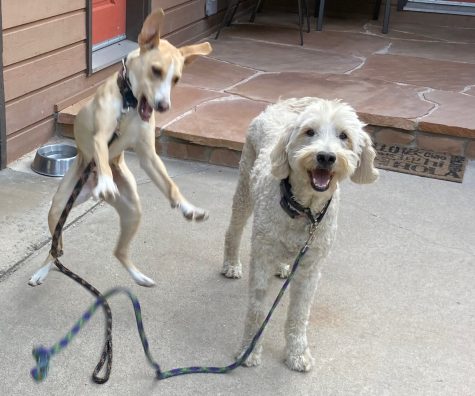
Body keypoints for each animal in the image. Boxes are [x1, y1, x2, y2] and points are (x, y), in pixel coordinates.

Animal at [29, 8, 212, 288]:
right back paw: (42, 271)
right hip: (58, 208)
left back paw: (139, 277)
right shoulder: (100, 137)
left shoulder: (149, 155)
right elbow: (103, 158)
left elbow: (170, 185)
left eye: (176, 79)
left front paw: (187, 207)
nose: (163, 106)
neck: (130, 102)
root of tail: (89, 189)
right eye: (156, 70)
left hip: (133, 211)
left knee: (118, 252)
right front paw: (106, 180)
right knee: (55, 248)